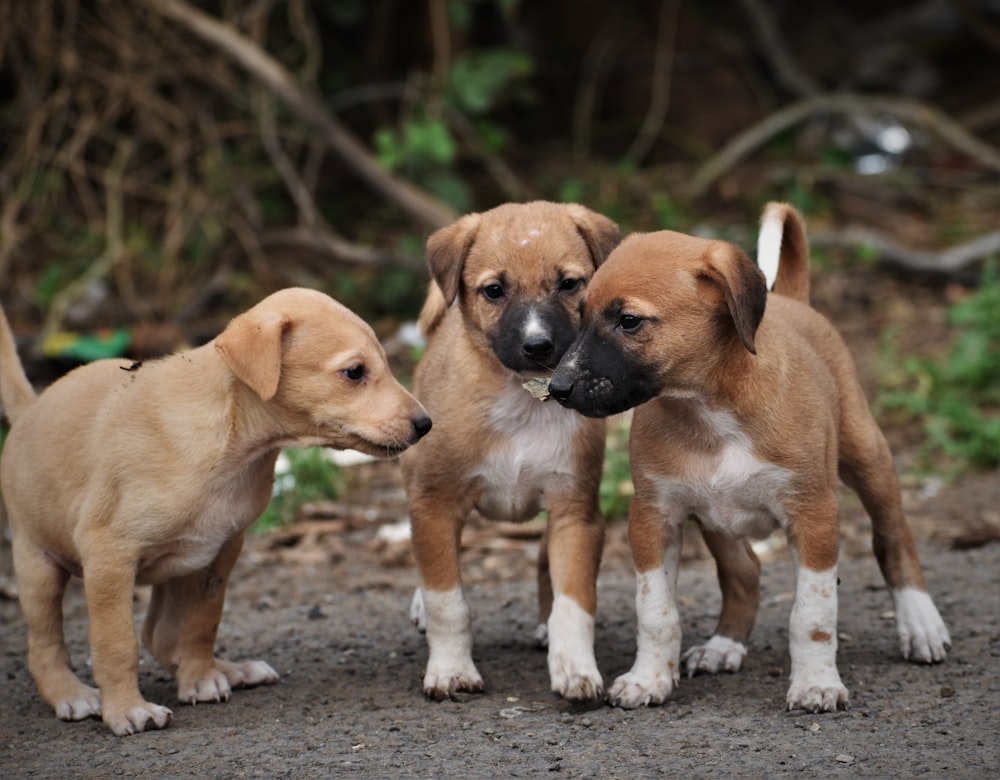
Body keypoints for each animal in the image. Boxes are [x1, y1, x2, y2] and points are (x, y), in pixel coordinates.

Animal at [0, 284, 430, 732]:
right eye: (354, 372)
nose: (426, 424)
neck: (233, 445)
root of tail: (30, 411)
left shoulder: (218, 552)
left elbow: (200, 623)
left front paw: (201, 678)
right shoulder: (108, 554)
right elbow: (116, 642)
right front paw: (127, 709)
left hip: (177, 565)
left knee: (159, 633)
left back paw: (231, 669)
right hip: (38, 566)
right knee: (45, 647)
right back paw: (71, 694)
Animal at [402, 200, 620, 700]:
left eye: (569, 283)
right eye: (495, 291)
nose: (538, 345)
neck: (524, 402)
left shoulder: (576, 511)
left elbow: (574, 602)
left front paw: (575, 667)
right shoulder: (435, 503)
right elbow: (447, 600)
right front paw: (451, 669)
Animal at [552, 203, 948, 712]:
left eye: (629, 321)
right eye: (580, 314)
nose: (557, 388)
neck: (710, 413)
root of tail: (795, 301)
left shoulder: (814, 515)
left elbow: (813, 615)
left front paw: (816, 683)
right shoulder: (653, 517)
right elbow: (656, 611)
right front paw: (648, 678)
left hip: (868, 456)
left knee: (894, 536)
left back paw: (921, 623)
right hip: (717, 519)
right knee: (745, 573)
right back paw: (724, 646)